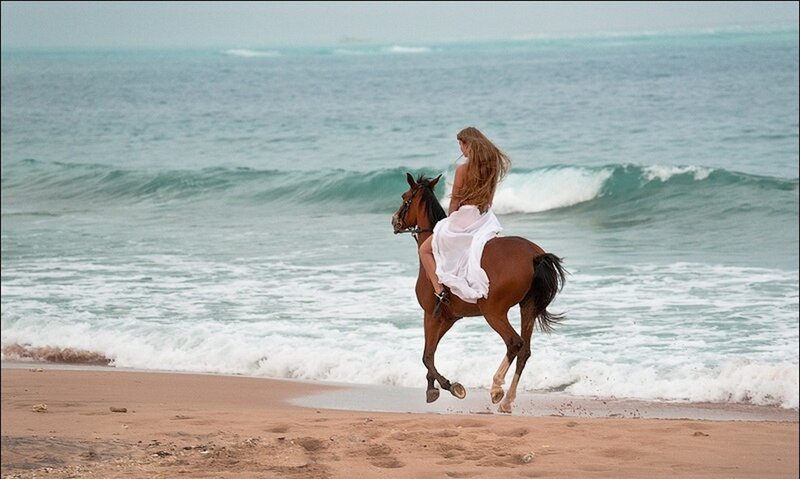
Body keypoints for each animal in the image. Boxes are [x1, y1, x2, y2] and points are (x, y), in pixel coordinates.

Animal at [391, 173, 567, 413]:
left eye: (404, 196)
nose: (394, 221)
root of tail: (534, 255)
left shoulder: (431, 315)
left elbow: (427, 356)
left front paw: (450, 386)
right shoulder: (448, 318)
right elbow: (431, 353)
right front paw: (432, 388)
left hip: (493, 312)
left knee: (514, 343)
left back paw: (496, 389)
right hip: (527, 307)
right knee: (525, 351)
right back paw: (507, 401)